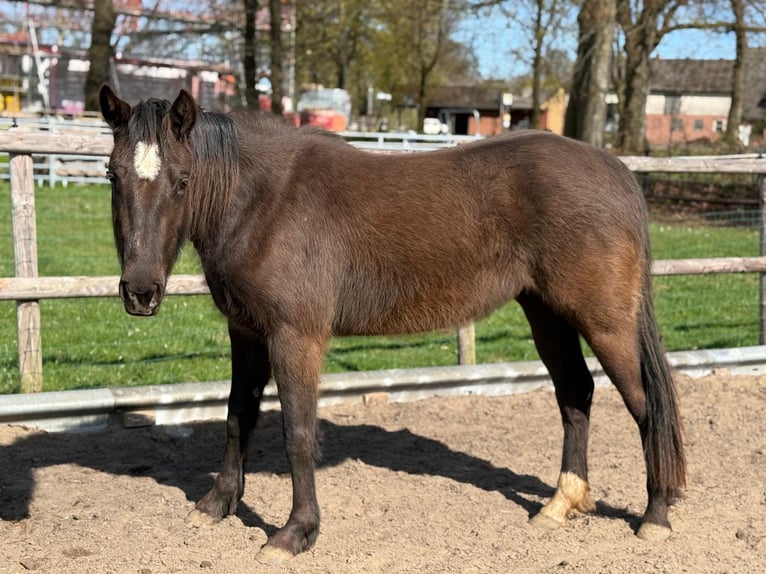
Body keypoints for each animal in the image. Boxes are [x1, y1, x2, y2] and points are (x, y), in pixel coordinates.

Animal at [99, 85, 685, 564]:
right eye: (112, 174)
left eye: (181, 181)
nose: (141, 292)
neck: (266, 202)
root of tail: (614, 170)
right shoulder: (245, 334)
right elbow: (237, 417)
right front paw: (217, 503)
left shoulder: (295, 338)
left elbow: (297, 432)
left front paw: (295, 533)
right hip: (547, 314)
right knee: (575, 395)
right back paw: (561, 504)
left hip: (605, 322)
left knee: (645, 406)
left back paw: (655, 517)